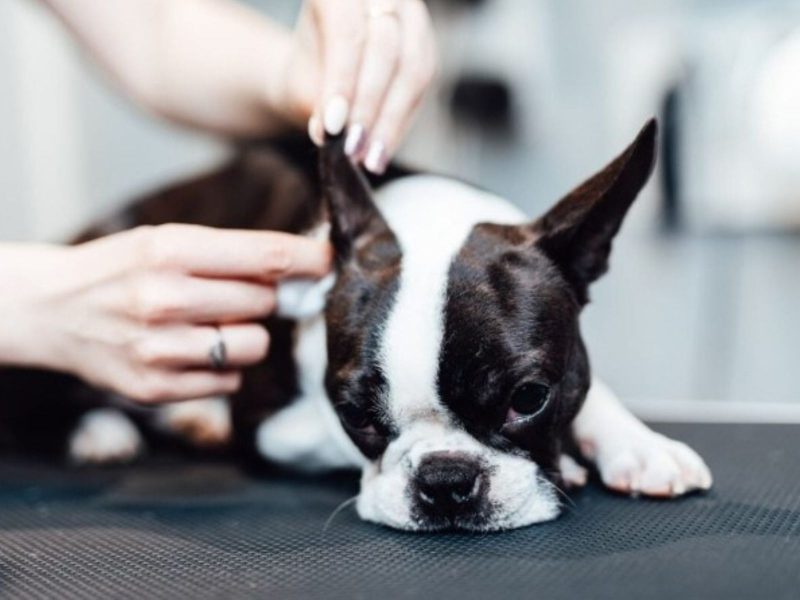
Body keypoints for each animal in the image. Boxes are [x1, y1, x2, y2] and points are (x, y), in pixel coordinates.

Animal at [0, 119, 712, 532]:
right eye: (358, 416)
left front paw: (636, 443)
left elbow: (593, 391)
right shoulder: (270, 423)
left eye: (529, 398)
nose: (446, 482)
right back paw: (105, 431)